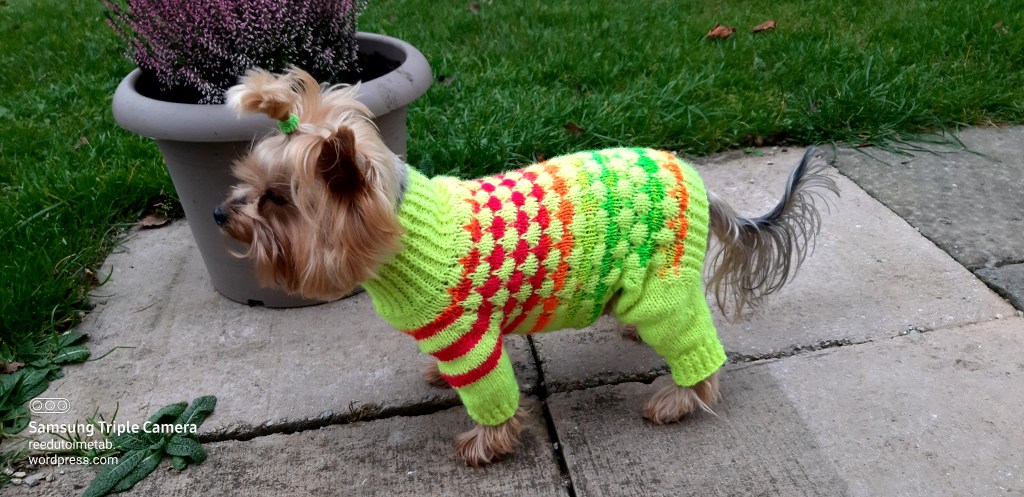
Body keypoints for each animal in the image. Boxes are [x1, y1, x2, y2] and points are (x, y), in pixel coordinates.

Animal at [213, 67, 838, 467]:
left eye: (277, 199)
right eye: (247, 183)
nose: (221, 213)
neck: (405, 232)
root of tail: (701, 183)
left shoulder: (468, 337)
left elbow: (492, 399)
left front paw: (486, 444)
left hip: (661, 289)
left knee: (700, 352)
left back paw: (678, 398)